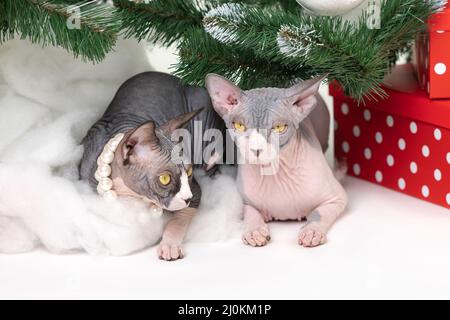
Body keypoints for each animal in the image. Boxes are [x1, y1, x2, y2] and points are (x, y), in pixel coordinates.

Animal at [79, 72, 225, 260]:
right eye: (165, 179)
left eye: (189, 172)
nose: (187, 198)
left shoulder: (195, 190)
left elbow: (180, 218)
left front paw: (169, 245)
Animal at [207, 74, 348, 248]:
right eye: (239, 126)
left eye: (279, 128)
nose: (256, 149)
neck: (276, 173)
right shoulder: (245, 202)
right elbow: (250, 213)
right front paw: (254, 231)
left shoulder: (337, 198)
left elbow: (319, 213)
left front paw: (311, 231)